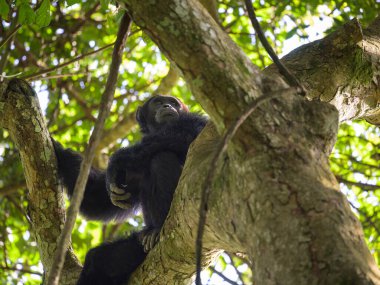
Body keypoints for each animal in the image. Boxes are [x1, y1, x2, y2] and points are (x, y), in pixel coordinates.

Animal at [53, 94, 206, 282]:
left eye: (174, 102)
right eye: (158, 102)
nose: (167, 105)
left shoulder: (196, 120)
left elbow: (188, 133)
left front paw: (117, 160)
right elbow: (96, 197)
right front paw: (59, 151)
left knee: (162, 159)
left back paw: (157, 229)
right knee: (99, 261)